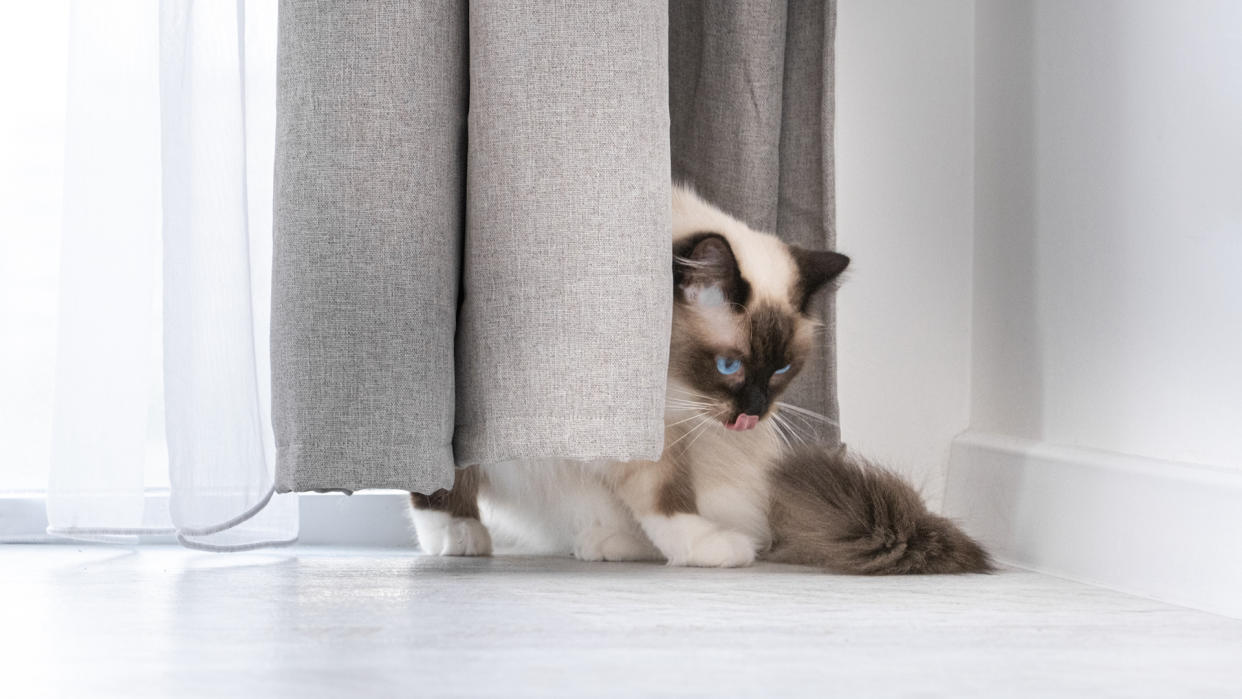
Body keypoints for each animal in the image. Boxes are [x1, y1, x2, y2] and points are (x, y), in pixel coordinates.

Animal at [407, 184, 988, 573]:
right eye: (729, 366)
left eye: (781, 368)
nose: (753, 411)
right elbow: (443, 471)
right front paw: (453, 532)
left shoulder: (656, 427)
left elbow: (662, 492)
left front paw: (700, 546)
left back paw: (609, 545)